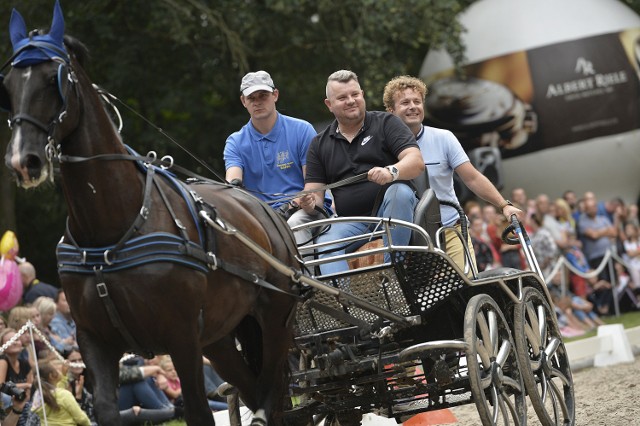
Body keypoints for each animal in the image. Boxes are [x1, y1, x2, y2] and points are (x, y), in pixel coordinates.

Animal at [0, 1, 300, 424]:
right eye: (8, 85)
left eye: (50, 80)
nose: (21, 161)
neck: (113, 228)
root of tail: (263, 207)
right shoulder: (93, 340)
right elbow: (106, 410)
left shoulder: (182, 337)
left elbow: (198, 411)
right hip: (223, 336)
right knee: (253, 389)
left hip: (274, 320)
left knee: (269, 394)